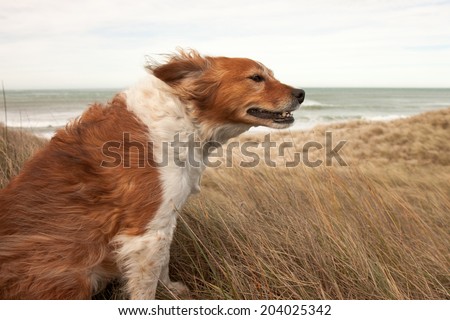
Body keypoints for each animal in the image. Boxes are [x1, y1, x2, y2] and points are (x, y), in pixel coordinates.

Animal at [0, 50, 306, 300]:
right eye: (256, 78)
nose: (302, 93)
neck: (185, 119)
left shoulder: (164, 220)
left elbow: (164, 261)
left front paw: (169, 289)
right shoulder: (144, 231)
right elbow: (146, 285)